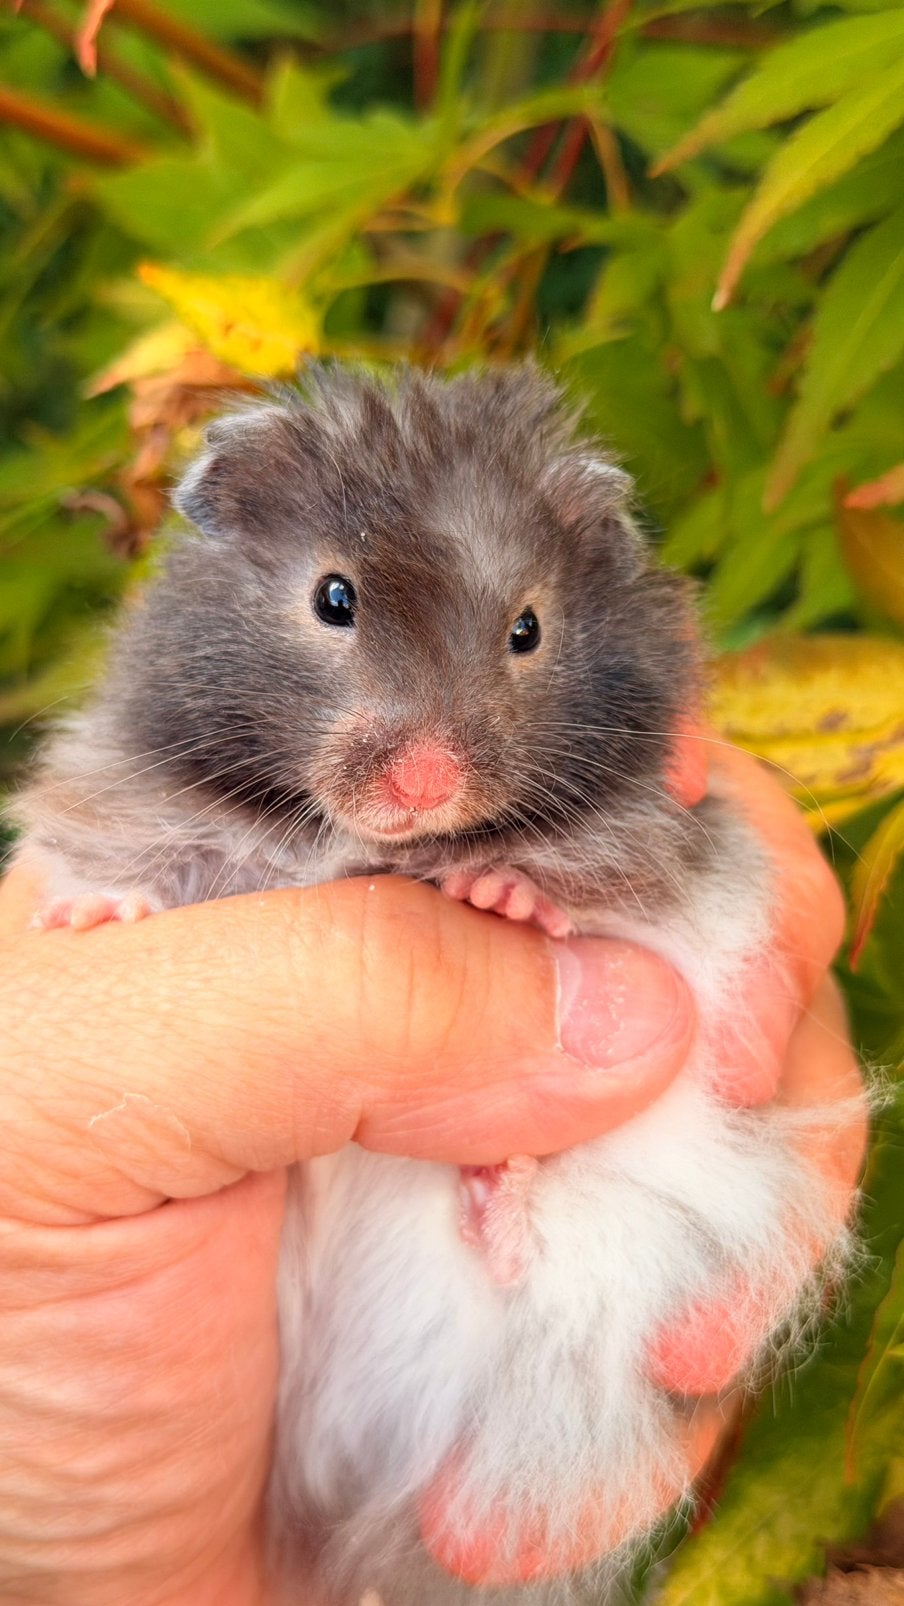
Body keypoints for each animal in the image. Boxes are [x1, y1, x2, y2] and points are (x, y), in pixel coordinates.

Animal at [13, 364, 852, 1606]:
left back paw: (498, 1192)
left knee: (542, 1271)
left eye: (527, 628)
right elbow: (138, 864)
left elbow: (613, 900)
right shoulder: (133, 793)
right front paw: (87, 916)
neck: (375, 846)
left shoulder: (672, 855)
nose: (424, 781)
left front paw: (504, 896)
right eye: (333, 597)